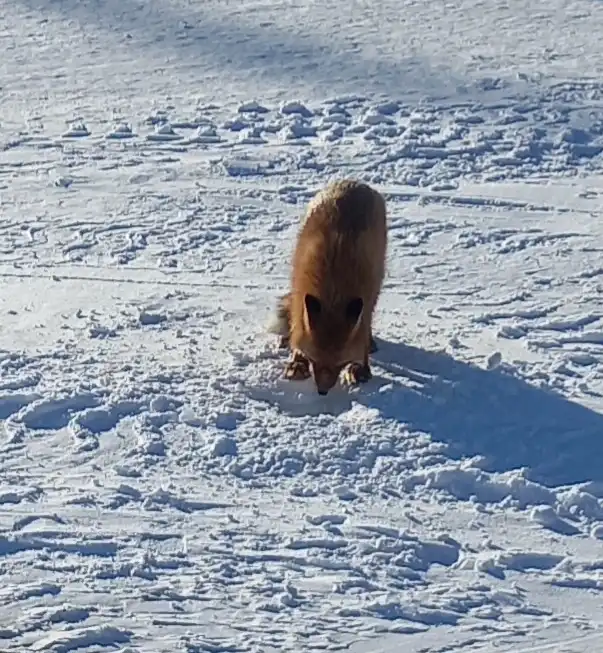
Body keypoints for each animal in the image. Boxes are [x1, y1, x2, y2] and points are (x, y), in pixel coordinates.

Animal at [270, 179, 387, 395]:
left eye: (340, 363)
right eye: (313, 359)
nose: (322, 391)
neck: (333, 290)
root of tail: (354, 182)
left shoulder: (366, 297)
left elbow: (363, 336)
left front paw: (361, 369)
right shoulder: (301, 294)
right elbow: (298, 327)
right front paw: (296, 362)